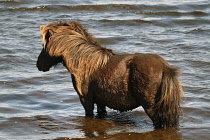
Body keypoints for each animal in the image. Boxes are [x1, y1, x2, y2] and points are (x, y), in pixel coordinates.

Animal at [37, 21, 183, 129]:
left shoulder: (86, 100)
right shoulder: (100, 102)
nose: (39, 65)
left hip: (151, 107)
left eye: (45, 46)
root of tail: (164, 67)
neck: (85, 62)